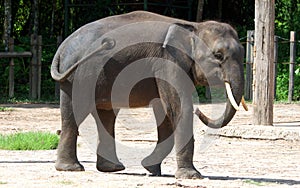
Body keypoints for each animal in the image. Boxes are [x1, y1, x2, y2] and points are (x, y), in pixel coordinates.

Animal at [50, 10, 245, 179]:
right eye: (218, 55)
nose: (200, 111)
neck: (193, 26)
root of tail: (62, 47)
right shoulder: (168, 61)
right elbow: (178, 107)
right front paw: (192, 176)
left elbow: (165, 113)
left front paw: (150, 169)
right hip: (78, 78)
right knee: (75, 113)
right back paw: (71, 168)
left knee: (106, 115)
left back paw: (112, 168)